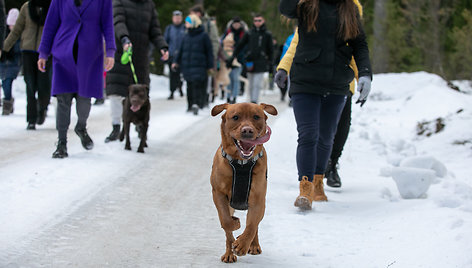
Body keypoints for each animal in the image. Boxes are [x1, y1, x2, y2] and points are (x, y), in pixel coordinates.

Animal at [210, 102, 276, 262]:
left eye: (256, 117)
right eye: (235, 117)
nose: (247, 130)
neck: (241, 164)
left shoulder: (258, 199)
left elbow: (252, 225)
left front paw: (243, 244)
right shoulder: (218, 194)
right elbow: (226, 222)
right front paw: (235, 224)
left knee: (255, 224)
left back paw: (253, 244)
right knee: (227, 230)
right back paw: (229, 252)